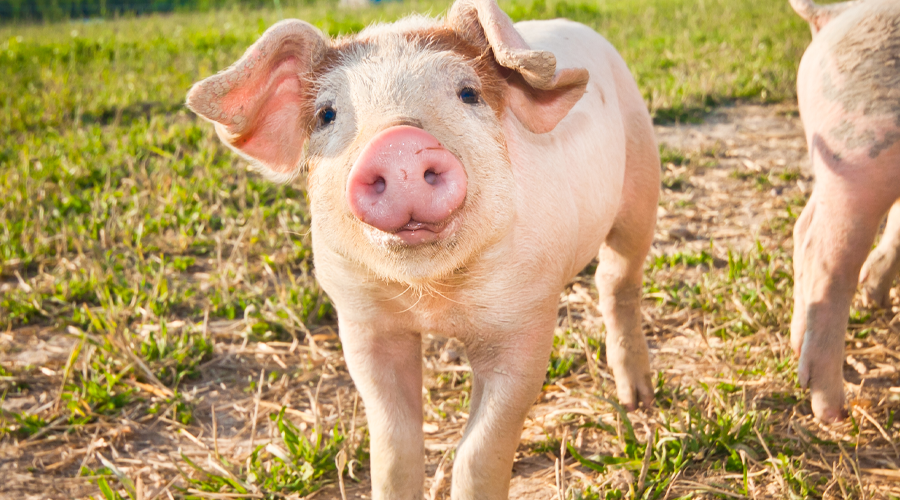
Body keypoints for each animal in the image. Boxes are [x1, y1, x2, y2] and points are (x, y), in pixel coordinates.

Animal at [186, 0, 659, 497]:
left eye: (468, 93)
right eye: (327, 114)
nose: (398, 145)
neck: (432, 298)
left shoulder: (526, 317)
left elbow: (482, 447)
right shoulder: (361, 318)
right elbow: (393, 442)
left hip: (642, 178)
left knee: (618, 278)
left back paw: (639, 401)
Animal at [789, 0, 900, 423]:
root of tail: (834, 15)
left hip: (834, 163)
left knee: (803, 230)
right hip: (860, 155)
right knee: (825, 261)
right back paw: (834, 411)